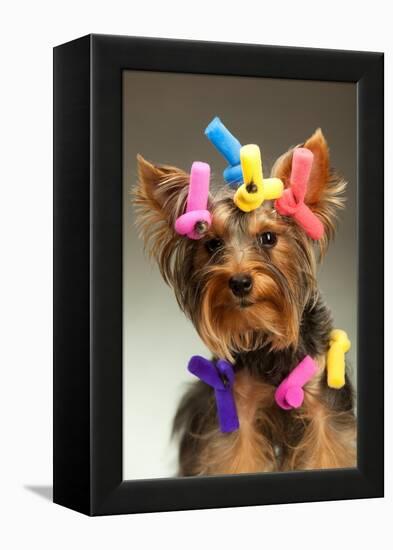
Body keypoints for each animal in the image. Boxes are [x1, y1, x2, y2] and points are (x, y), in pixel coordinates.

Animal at [134, 129, 356, 478]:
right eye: (212, 244)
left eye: (268, 238)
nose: (239, 282)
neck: (266, 331)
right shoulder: (240, 407)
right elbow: (238, 455)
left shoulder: (324, 407)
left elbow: (328, 447)